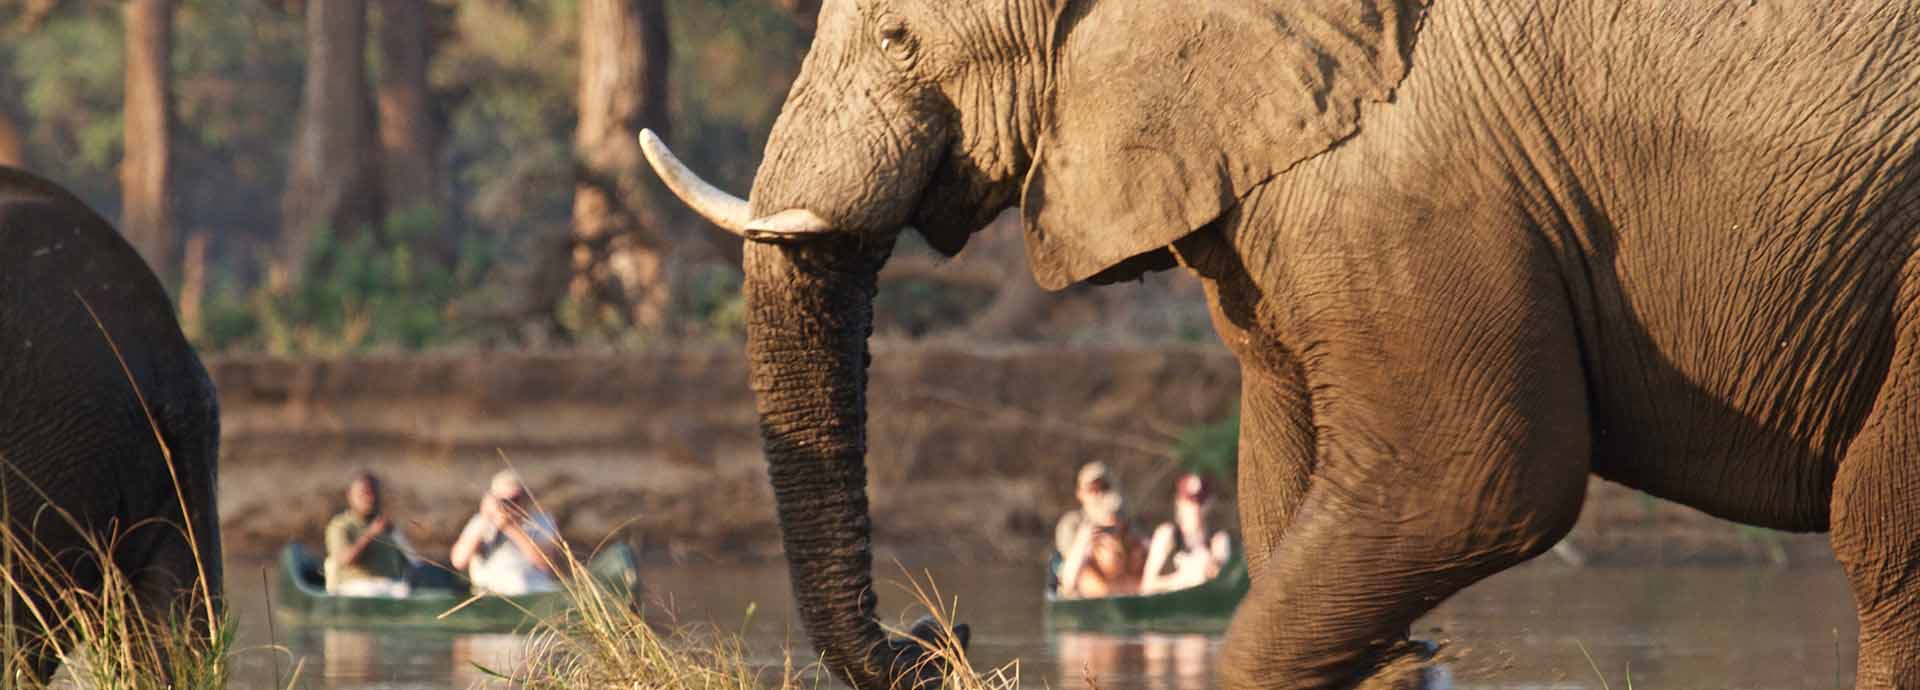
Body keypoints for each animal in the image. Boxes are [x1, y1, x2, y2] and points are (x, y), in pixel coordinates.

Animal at [638, 0, 1920, 687]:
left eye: (902, 39)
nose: (936, 633)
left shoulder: (1410, 175)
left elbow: (1476, 481)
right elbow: (1283, 468)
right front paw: (1397, 658)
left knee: (1877, 536)